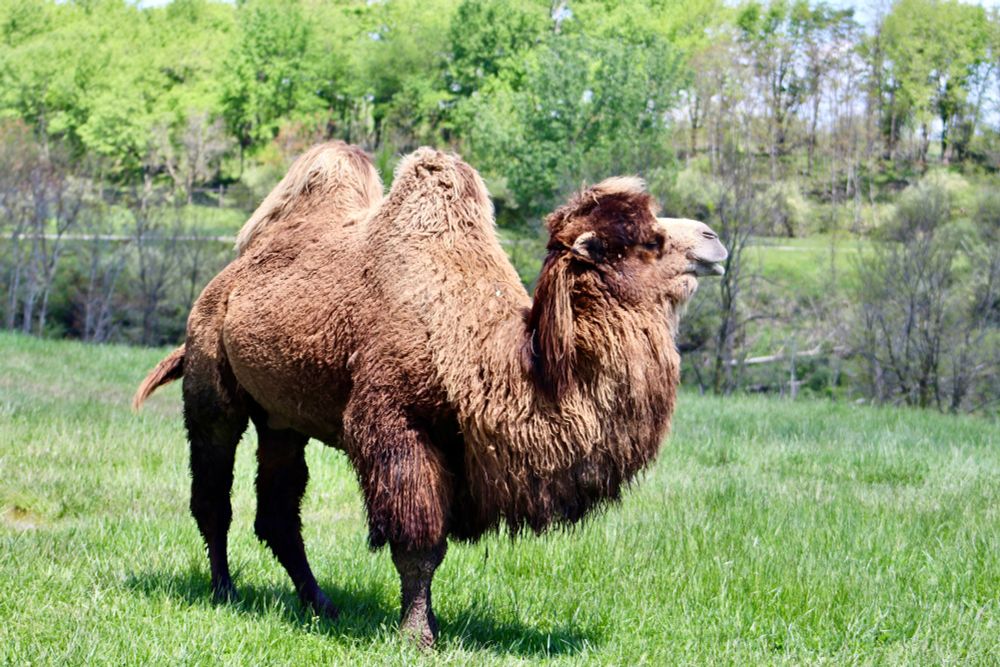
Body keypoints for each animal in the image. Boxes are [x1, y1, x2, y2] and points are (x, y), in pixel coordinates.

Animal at [133, 142, 727, 646]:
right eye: (649, 241)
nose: (712, 239)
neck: (484, 351)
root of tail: (223, 281)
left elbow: (431, 546)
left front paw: (429, 623)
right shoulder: (396, 428)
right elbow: (417, 545)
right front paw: (417, 635)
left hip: (283, 421)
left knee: (278, 509)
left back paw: (320, 603)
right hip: (211, 387)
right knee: (213, 491)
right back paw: (225, 590)